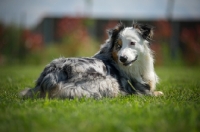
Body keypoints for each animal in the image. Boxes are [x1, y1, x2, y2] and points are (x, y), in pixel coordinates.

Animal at [19, 22, 163, 98]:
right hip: (109, 81)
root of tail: (49, 76)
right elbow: (153, 92)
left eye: (132, 43)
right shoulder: (137, 88)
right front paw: (158, 93)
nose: (123, 58)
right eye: (118, 46)